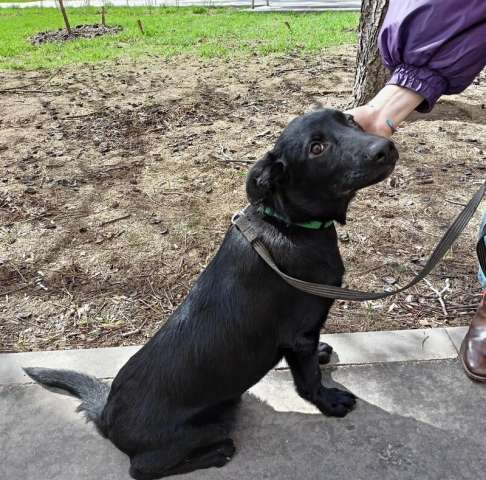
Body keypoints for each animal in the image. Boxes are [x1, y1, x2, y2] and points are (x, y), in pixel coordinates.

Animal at [24, 109, 398, 480]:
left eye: (349, 120)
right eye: (316, 148)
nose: (386, 148)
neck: (288, 224)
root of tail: (106, 416)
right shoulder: (298, 336)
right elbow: (308, 380)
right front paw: (330, 402)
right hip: (214, 422)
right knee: (142, 468)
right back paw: (217, 453)